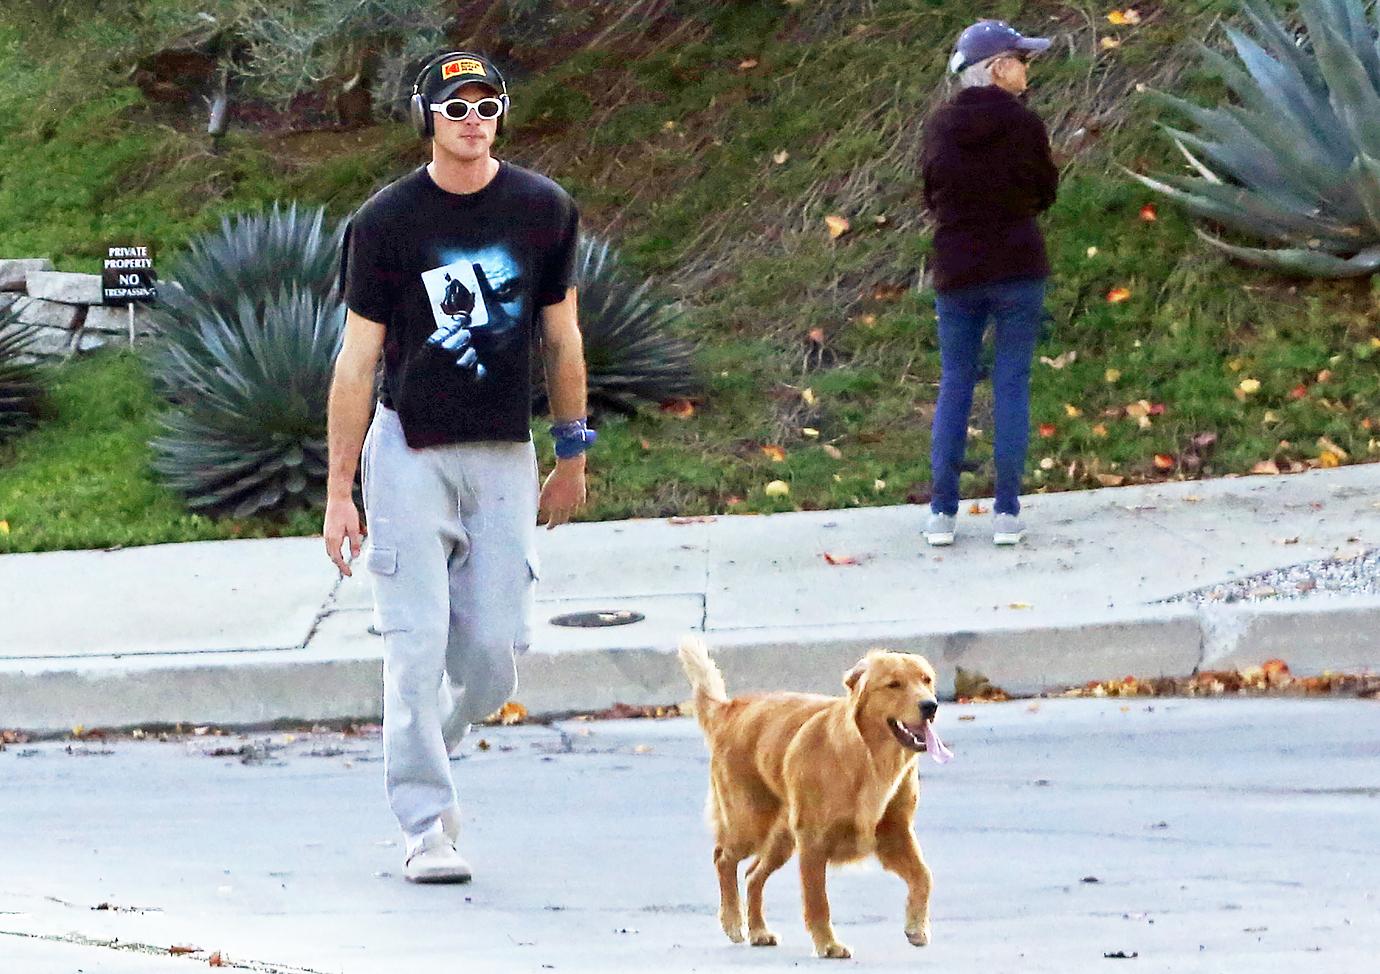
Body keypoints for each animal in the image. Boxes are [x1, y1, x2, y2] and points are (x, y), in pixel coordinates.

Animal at [676, 634, 943, 960]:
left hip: (781, 840)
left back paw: (759, 931)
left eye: (926, 680)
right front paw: (828, 944)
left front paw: (916, 926)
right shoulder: (814, 841)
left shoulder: (896, 833)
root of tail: (732, 709)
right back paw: (733, 922)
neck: (869, 758)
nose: (930, 706)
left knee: (752, 875)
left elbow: (924, 876)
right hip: (750, 823)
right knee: (722, 858)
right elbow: (818, 901)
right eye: (894, 684)